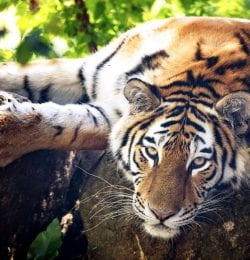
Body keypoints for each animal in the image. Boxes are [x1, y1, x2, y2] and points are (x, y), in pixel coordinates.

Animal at [0, 16, 249, 240]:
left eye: (198, 163)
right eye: (151, 152)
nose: (161, 215)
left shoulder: (112, 118)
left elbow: (69, 127)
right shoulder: (85, 70)